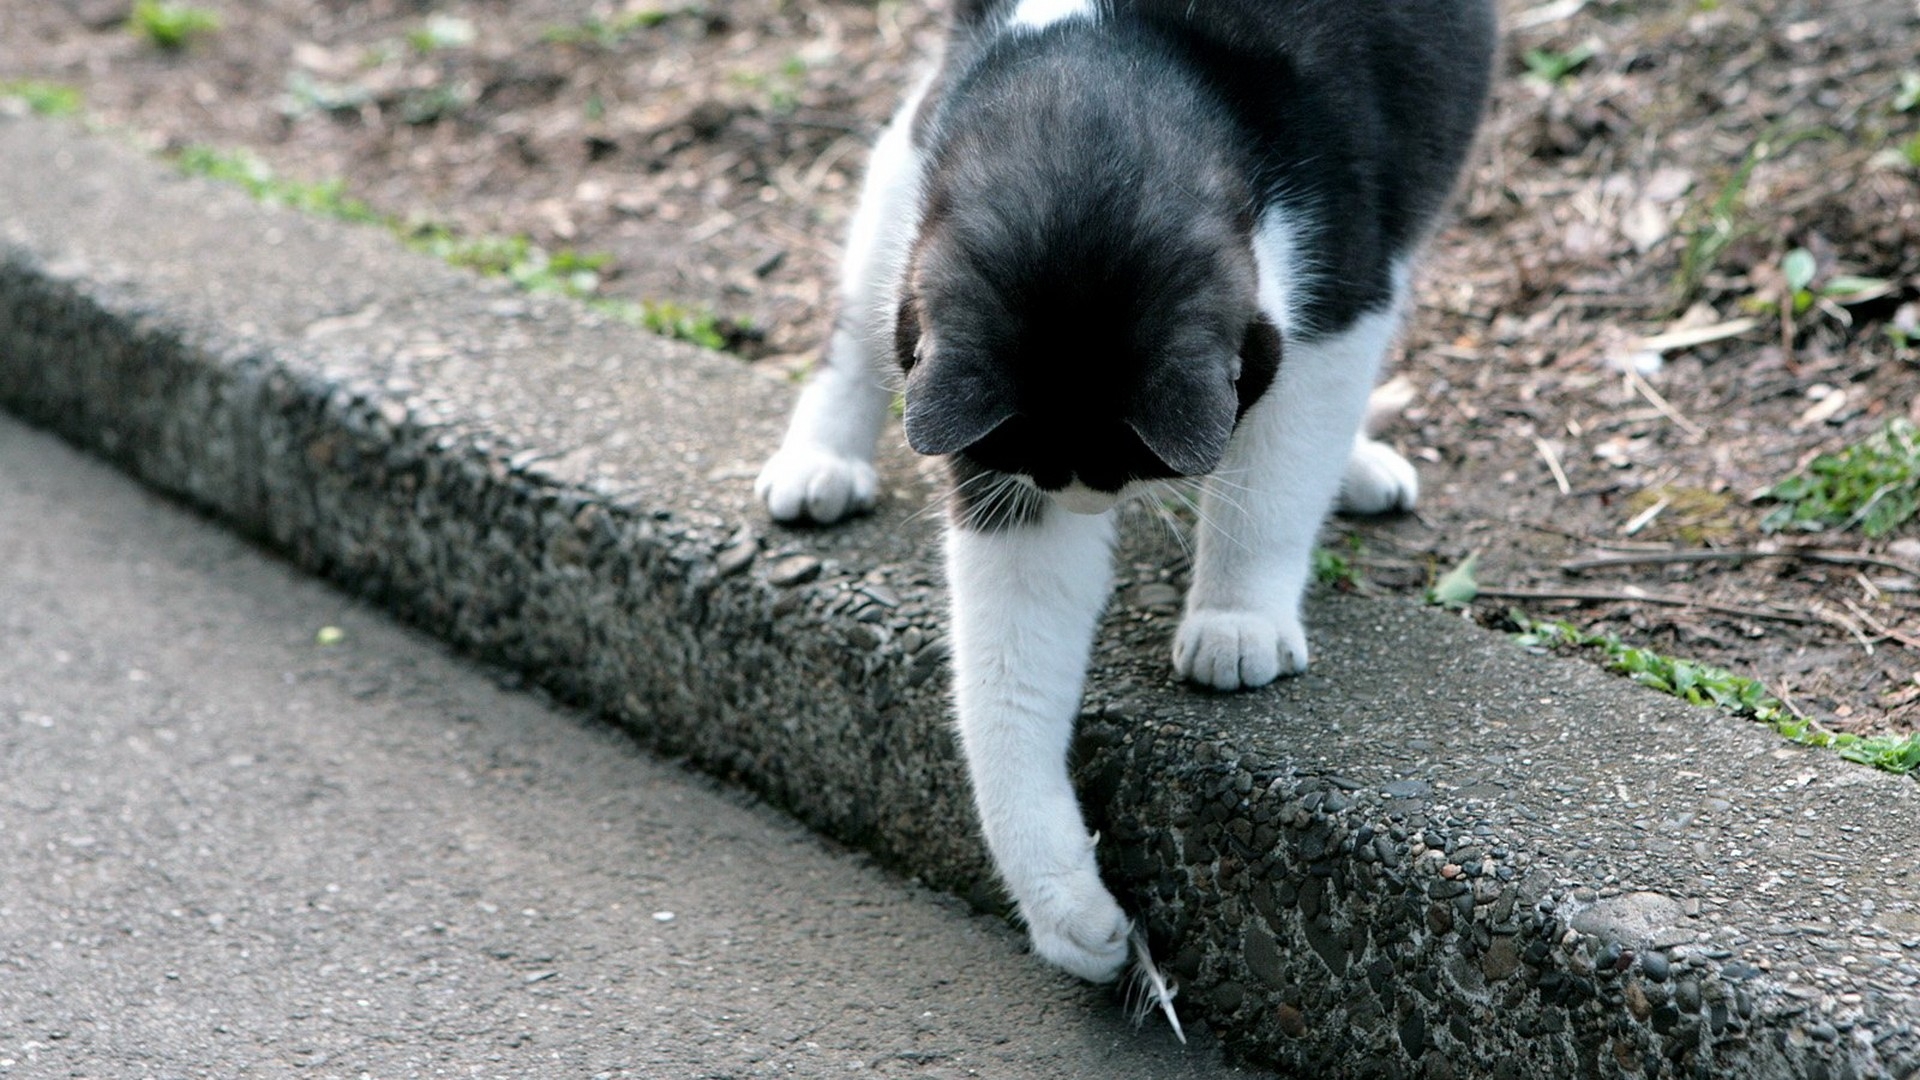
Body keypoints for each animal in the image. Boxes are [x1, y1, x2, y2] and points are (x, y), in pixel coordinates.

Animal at [756, 0, 1489, 980]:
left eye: (1126, 467)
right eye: (1053, 474)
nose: (1086, 506)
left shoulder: (1339, 294)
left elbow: (1277, 477)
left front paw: (1236, 620)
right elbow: (1010, 660)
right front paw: (1066, 902)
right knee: (862, 295)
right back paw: (821, 457)